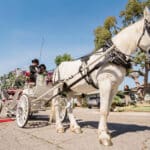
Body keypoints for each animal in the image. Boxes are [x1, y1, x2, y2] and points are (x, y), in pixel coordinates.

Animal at [51, 7, 150, 146]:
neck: (113, 55)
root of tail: (58, 66)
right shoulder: (105, 84)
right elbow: (102, 110)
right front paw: (104, 136)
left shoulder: (114, 87)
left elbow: (107, 110)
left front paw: (106, 131)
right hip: (57, 89)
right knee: (57, 105)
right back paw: (59, 127)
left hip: (71, 90)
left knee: (69, 108)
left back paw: (75, 127)